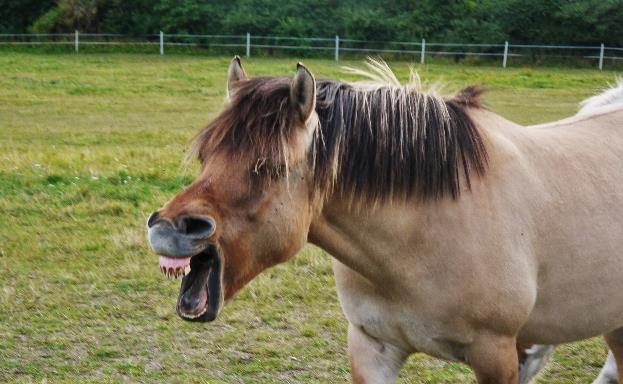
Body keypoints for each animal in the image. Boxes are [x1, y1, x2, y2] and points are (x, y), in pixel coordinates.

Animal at [149, 57, 623, 384]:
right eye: (206, 158)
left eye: (268, 167)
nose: (167, 229)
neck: (422, 236)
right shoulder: (372, 347)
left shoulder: (498, 354)